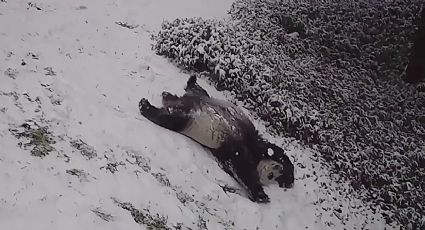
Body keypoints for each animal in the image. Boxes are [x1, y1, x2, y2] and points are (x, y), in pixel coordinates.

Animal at [137, 76, 294, 203]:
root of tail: (176, 100)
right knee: (183, 106)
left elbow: (238, 168)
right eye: (272, 174)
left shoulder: (227, 153)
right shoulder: (249, 145)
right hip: (193, 115)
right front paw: (263, 194)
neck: (257, 161)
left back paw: (154, 102)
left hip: (189, 115)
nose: (275, 171)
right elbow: (257, 160)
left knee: (172, 115)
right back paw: (148, 104)